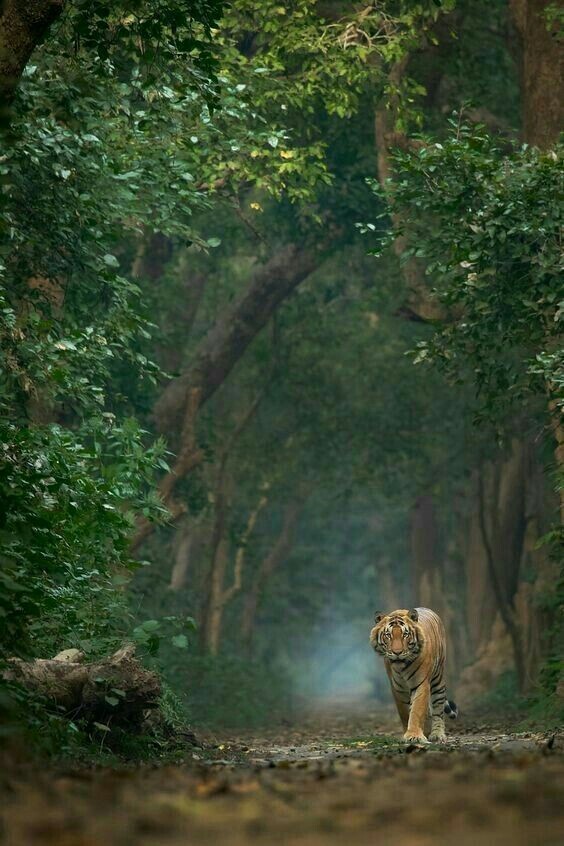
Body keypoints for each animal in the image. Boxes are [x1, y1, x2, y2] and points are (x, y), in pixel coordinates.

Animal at [369, 607, 458, 743]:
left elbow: (417, 710)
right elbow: (405, 712)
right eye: (388, 635)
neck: (401, 668)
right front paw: (409, 733)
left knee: (438, 709)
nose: (397, 652)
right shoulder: (397, 688)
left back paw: (437, 734)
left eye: (405, 634)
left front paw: (414, 736)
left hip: (438, 680)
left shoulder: (421, 684)